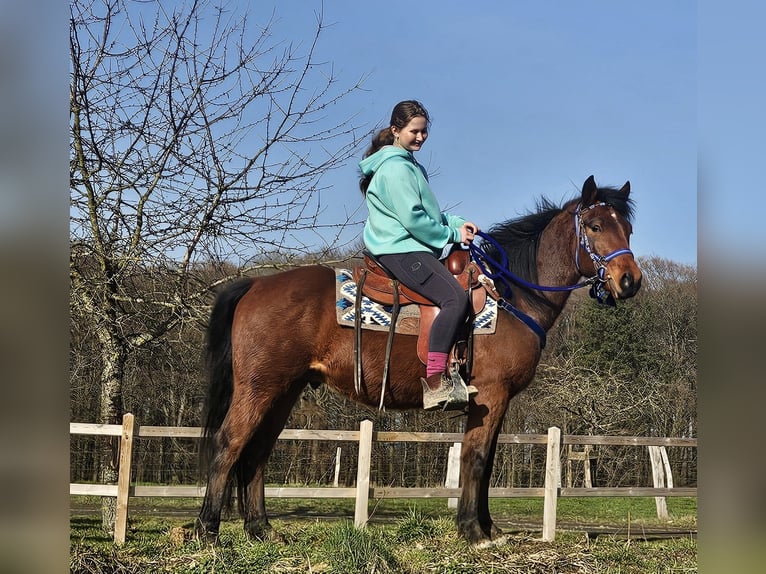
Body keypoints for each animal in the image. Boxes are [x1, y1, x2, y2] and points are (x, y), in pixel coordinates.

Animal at [196, 175, 642, 544]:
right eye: (596, 226)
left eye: (628, 228)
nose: (630, 281)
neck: (511, 295)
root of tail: (255, 285)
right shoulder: (490, 396)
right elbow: (476, 458)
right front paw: (472, 531)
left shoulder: (495, 402)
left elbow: (487, 463)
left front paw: (488, 528)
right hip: (259, 388)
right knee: (229, 443)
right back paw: (207, 530)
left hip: (285, 390)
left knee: (257, 452)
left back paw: (260, 529)